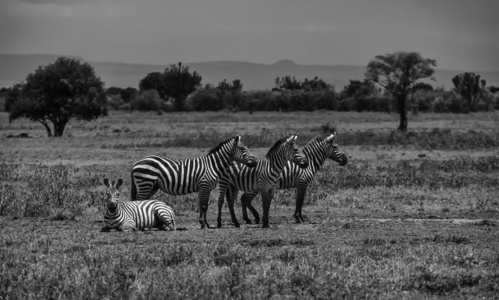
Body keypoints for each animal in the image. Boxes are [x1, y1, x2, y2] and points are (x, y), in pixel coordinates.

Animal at [130, 135, 258, 229]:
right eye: (243, 149)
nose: (255, 162)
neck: (212, 166)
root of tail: (136, 163)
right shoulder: (204, 185)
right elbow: (203, 205)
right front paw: (203, 224)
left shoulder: (207, 188)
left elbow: (205, 205)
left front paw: (205, 223)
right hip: (146, 183)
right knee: (138, 201)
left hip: (152, 186)